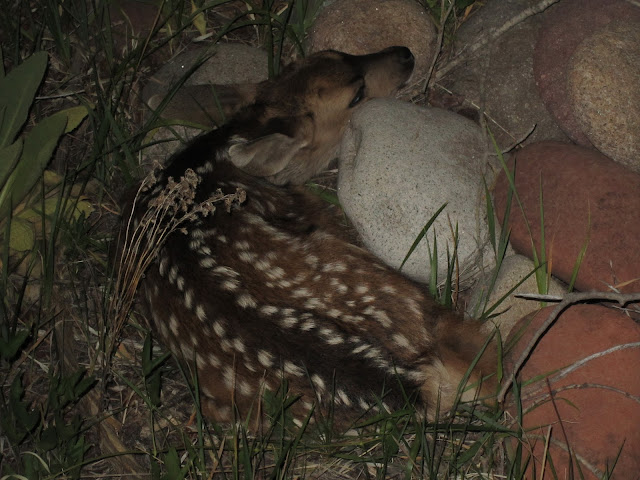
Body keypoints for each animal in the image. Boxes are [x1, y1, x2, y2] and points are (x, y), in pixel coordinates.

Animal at [121, 46, 496, 428]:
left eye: (335, 52)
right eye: (356, 94)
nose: (405, 54)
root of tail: (407, 383)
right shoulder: (308, 210)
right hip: (390, 285)